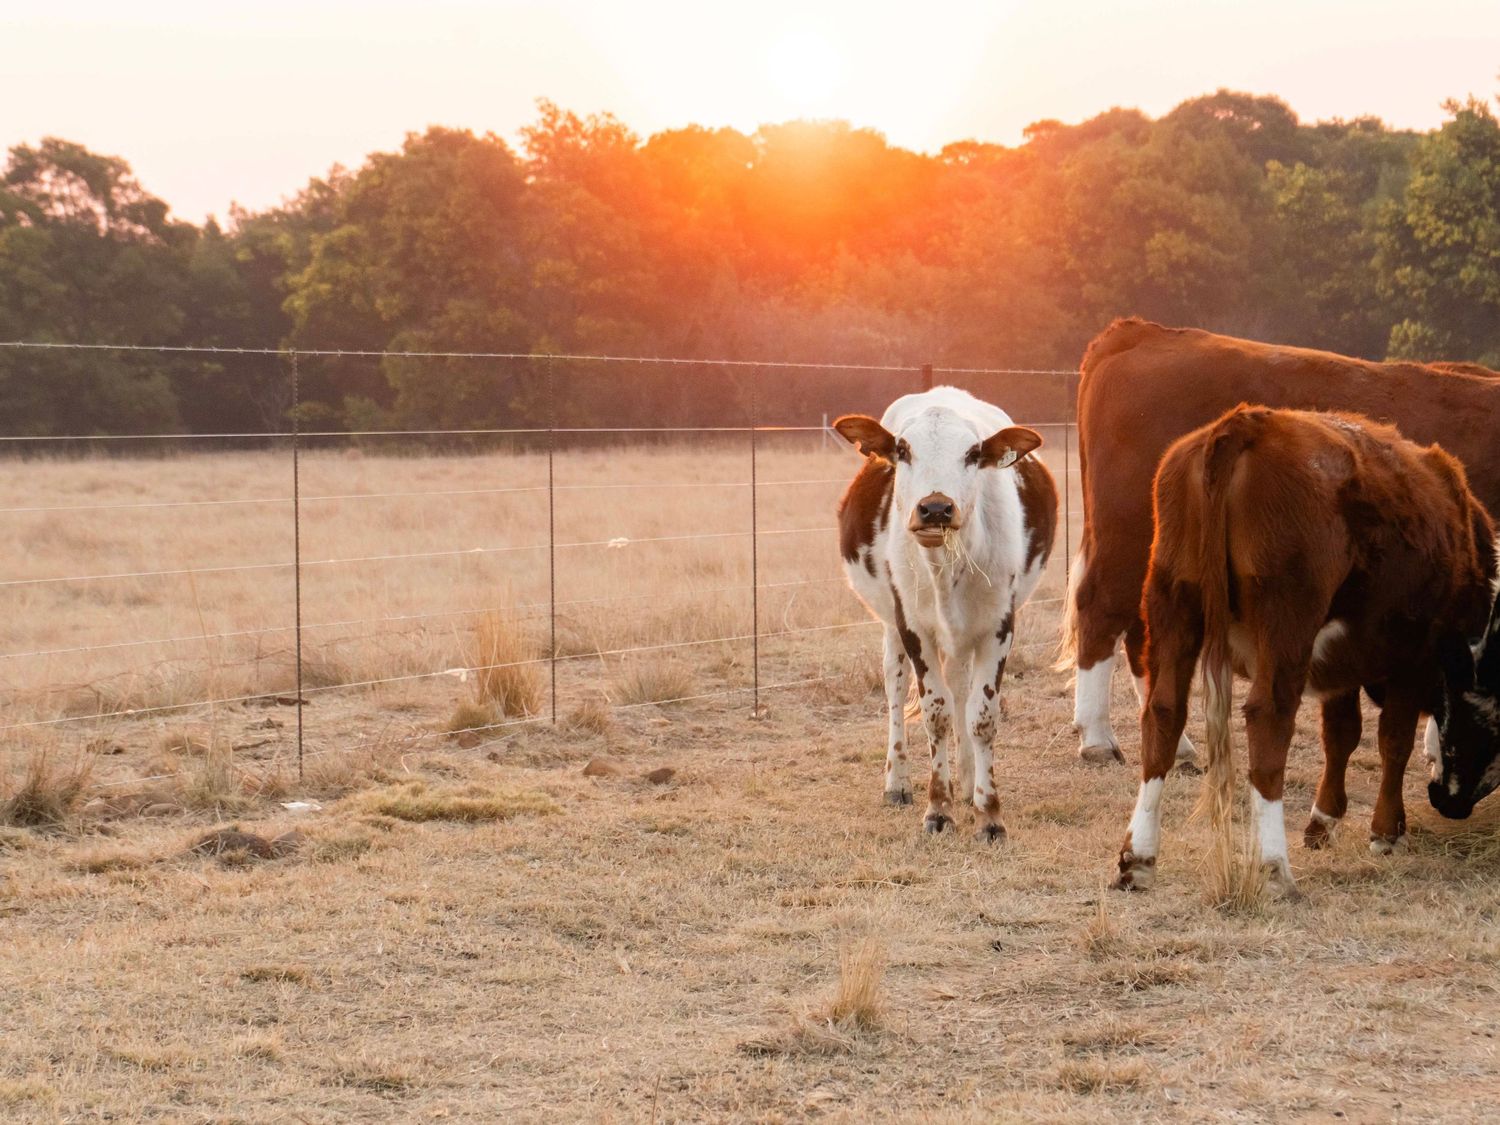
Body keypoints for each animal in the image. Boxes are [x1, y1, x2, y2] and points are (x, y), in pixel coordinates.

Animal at [835, 387, 1057, 841]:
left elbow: (982, 716)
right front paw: (938, 809)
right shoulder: (913, 628)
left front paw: (988, 814)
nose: (935, 508)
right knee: (897, 689)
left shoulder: (999, 627)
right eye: (903, 449)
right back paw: (898, 781)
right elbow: (936, 714)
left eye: (973, 453)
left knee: (962, 693)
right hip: (893, 627)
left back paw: (968, 779)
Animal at [1061, 320, 1500, 768]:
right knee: (1101, 609)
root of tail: (1145, 331)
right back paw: (1097, 738)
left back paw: (1179, 747)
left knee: (1138, 632)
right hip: (1127, 531)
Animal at [1113, 406, 1497, 897]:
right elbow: (1393, 741)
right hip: (1286, 621)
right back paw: (1275, 866)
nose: (1448, 802)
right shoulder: (1413, 658)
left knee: (1163, 714)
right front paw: (1386, 829)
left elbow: (1341, 735)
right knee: (1268, 721)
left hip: (1173, 601)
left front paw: (1325, 818)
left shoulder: (1343, 664)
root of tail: (1247, 423)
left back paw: (1138, 857)